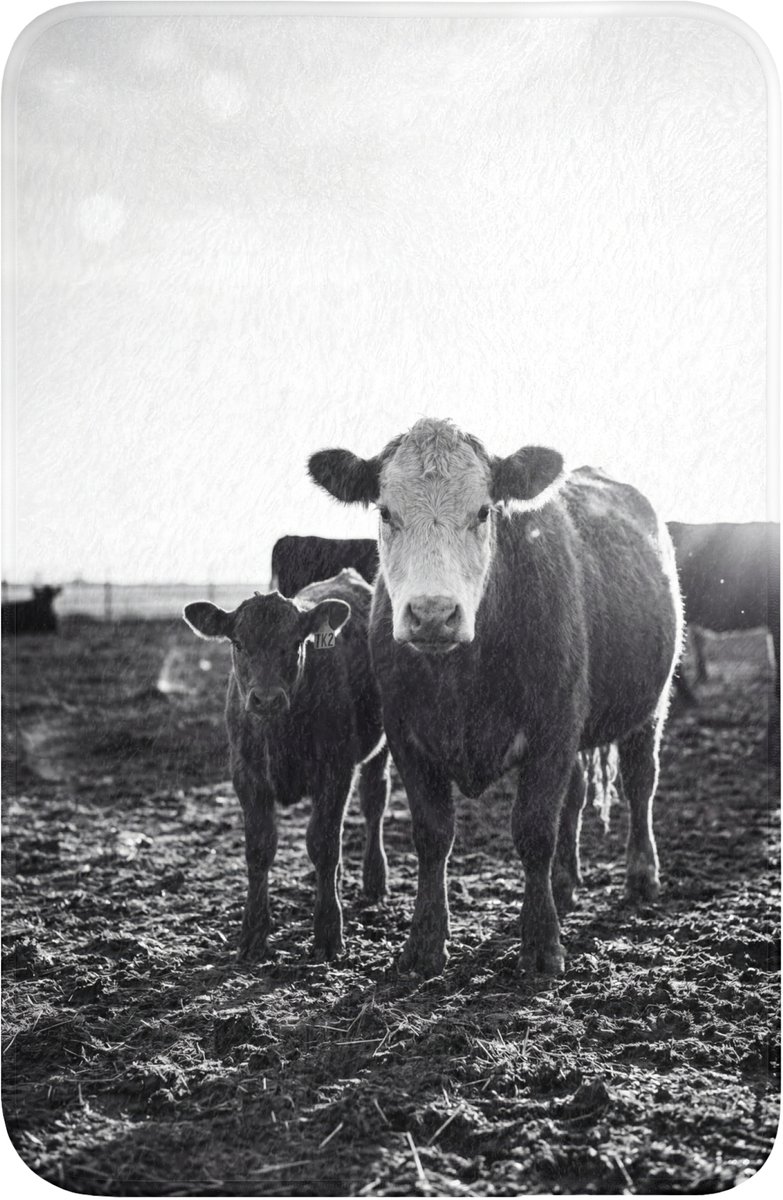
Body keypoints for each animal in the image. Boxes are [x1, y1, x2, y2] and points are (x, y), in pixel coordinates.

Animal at [183, 569, 390, 961]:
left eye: (296, 642)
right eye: (237, 643)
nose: (265, 699)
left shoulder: (337, 770)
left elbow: (323, 844)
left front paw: (328, 931)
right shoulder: (246, 774)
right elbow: (260, 848)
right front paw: (252, 934)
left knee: (374, 804)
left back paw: (374, 880)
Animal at [308, 418, 682, 977]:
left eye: (484, 510)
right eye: (386, 511)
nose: (433, 614)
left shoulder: (553, 730)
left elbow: (533, 832)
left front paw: (542, 944)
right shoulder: (407, 737)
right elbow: (432, 835)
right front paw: (424, 944)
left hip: (648, 708)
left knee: (641, 784)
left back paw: (641, 876)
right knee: (574, 798)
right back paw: (565, 883)